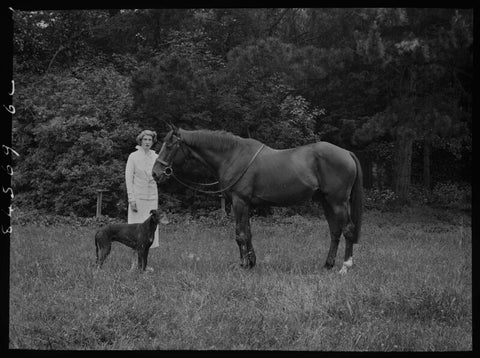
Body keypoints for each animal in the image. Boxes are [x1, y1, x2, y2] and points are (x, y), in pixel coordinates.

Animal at [152, 126, 362, 274]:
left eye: (169, 146)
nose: (155, 173)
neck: (233, 156)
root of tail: (346, 153)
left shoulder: (239, 202)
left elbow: (240, 234)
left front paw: (243, 265)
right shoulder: (245, 205)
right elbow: (248, 233)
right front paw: (251, 262)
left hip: (338, 202)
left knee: (348, 229)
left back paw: (345, 266)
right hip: (326, 202)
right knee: (335, 231)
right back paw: (328, 264)